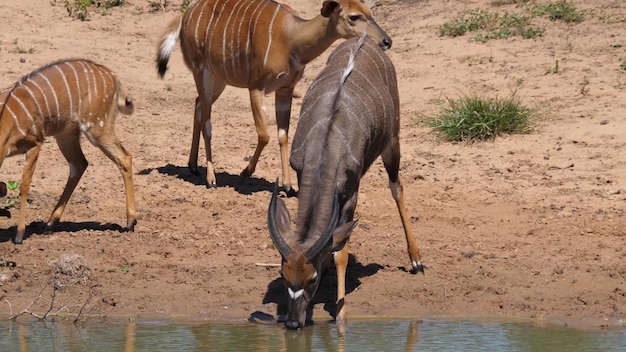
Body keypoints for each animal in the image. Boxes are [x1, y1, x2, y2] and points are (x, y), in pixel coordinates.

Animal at [155, 0, 390, 192]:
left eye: (370, 12)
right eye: (354, 16)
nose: (387, 41)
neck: (291, 38)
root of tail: (185, 17)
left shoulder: (285, 89)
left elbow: (282, 134)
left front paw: (288, 185)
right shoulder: (256, 87)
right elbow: (264, 134)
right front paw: (245, 173)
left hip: (218, 78)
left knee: (198, 106)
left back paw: (193, 166)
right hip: (202, 71)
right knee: (207, 121)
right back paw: (211, 179)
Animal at [266, 34, 422, 328]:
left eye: (311, 279)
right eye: (283, 275)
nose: (292, 323)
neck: (326, 145)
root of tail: (365, 39)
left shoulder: (351, 192)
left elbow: (342, 253)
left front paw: (341, 314)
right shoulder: (302, 174)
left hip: (392, 141)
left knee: (397, 187)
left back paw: (416, 260)